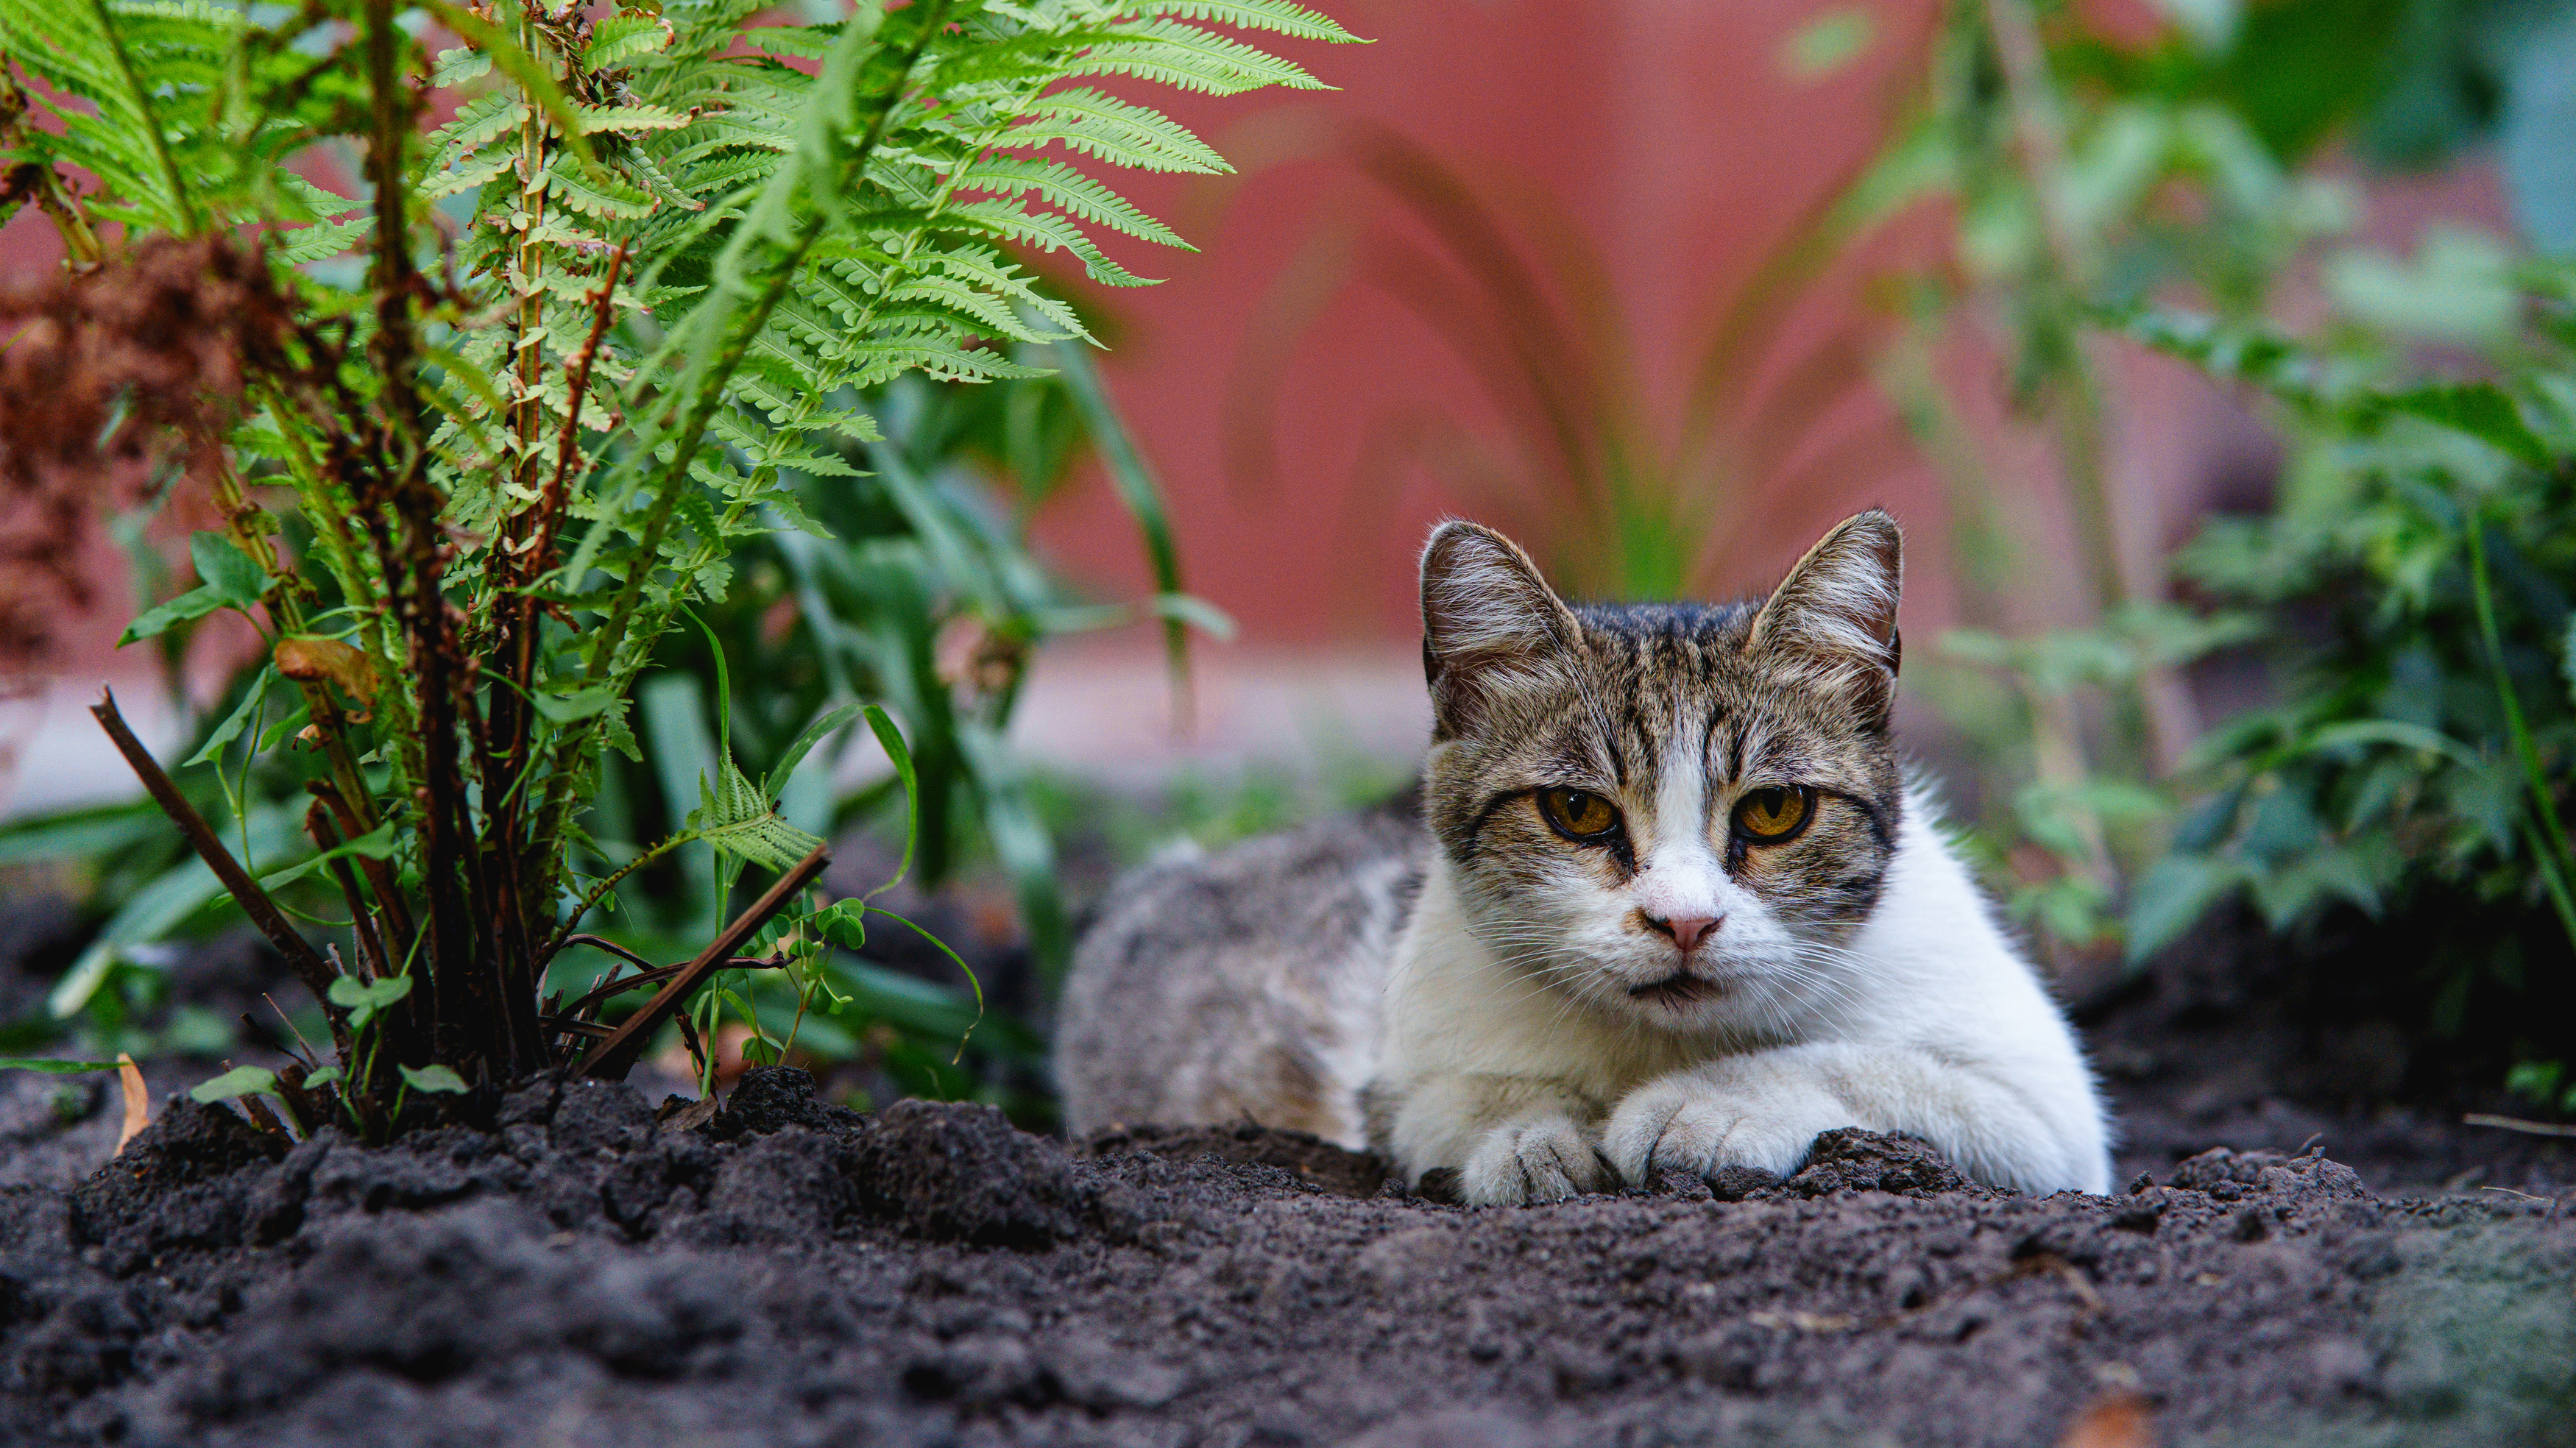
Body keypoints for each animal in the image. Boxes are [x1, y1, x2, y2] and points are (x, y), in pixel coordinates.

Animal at [1051, 512, 2112, 1200]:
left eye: (1774, 812)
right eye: (1576, 812)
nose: (1684, 921)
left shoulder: (2051, 1117)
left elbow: (1877, 1065)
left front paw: (1706, 1105)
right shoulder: (1397, 1071)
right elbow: (1436, 1103)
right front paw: (1523, 1134)